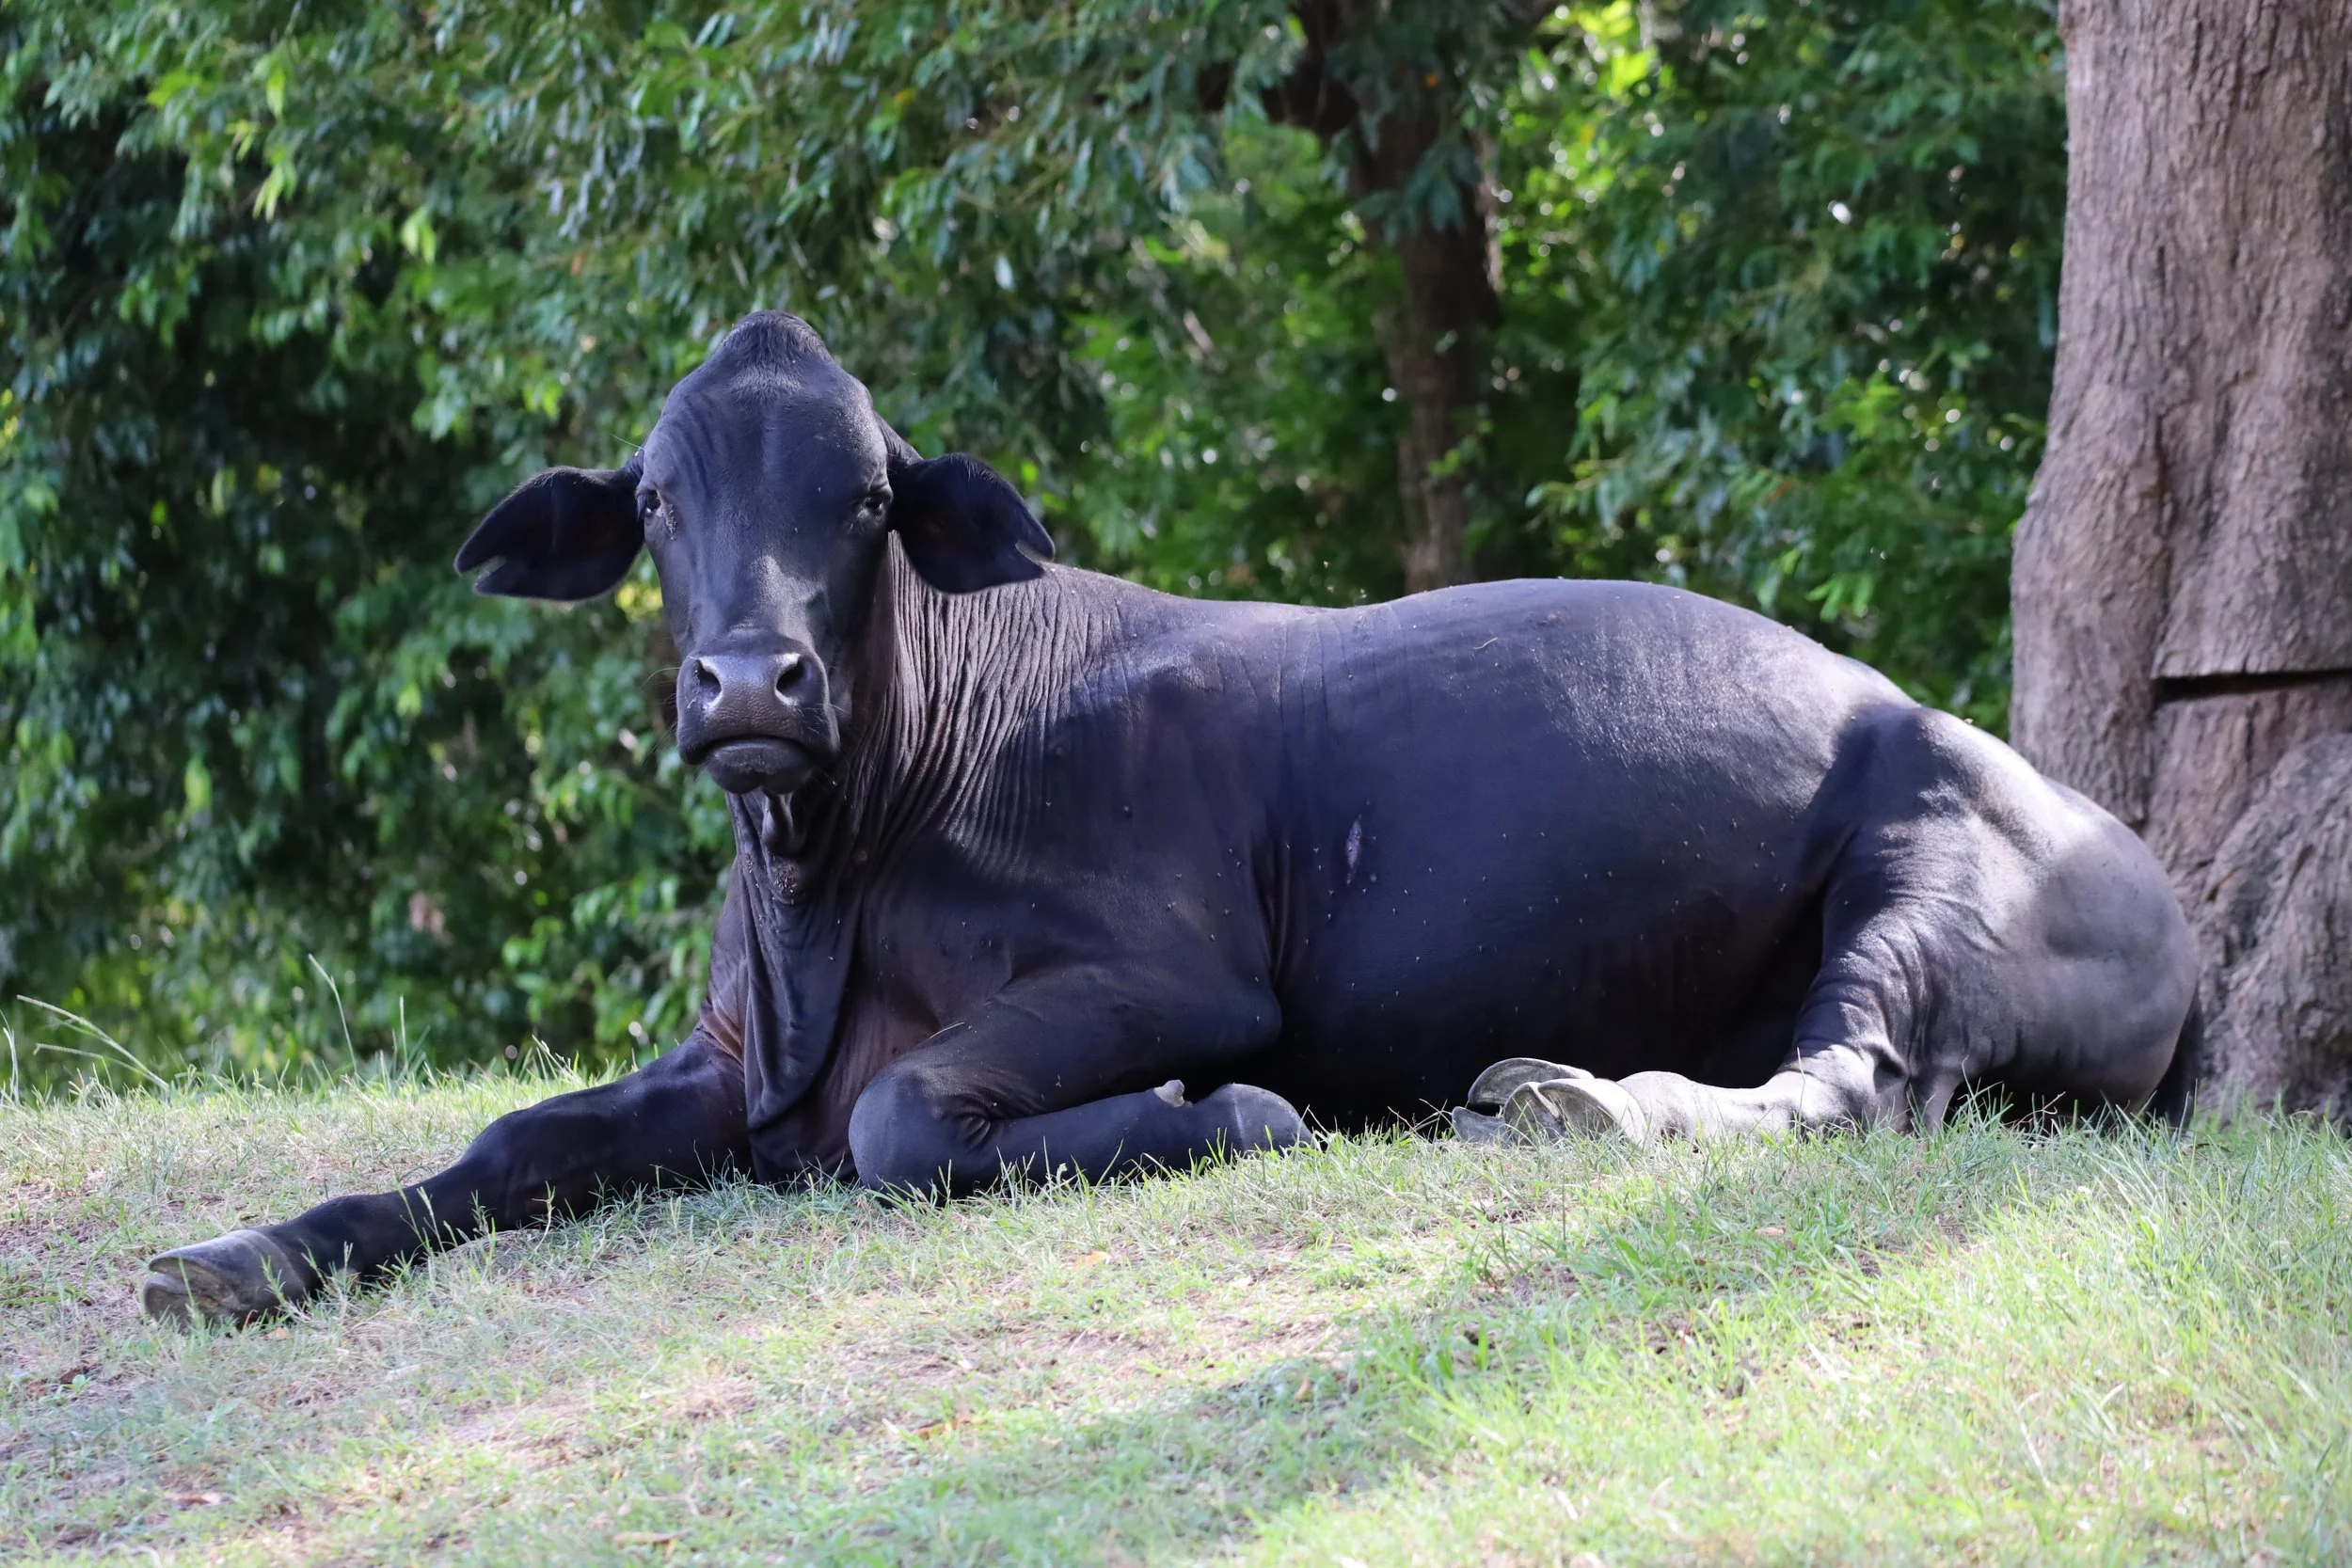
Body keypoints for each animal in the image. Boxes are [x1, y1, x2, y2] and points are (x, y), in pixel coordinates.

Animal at [142, 312, 2197, 1326]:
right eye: (653, 498)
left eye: (866, 499)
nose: (747, 686)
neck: (825, 891)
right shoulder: (726, 1057)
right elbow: (502, 1142)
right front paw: (235, 1255)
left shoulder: (1174, 972)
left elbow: (909, 1121)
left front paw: (1230, 1116)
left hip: (1925, 873)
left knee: (1847, 1081)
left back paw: (1579, 1099)